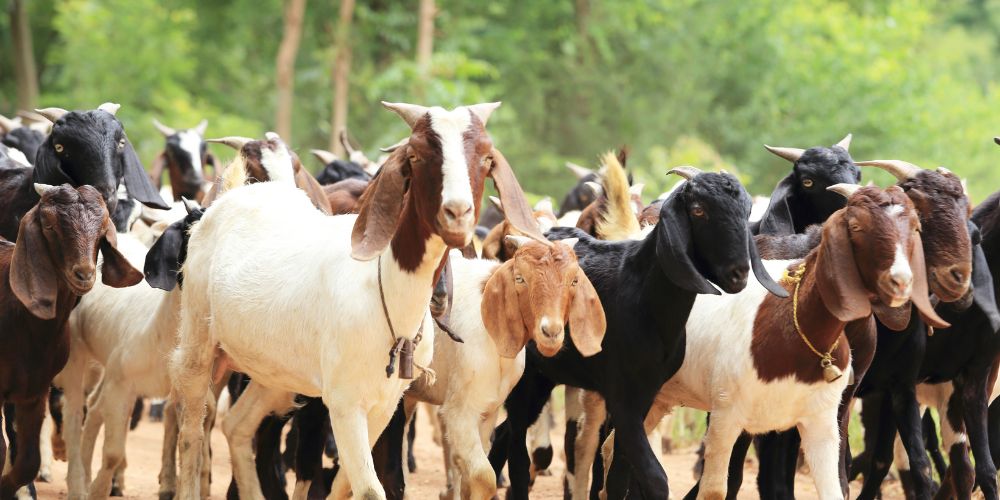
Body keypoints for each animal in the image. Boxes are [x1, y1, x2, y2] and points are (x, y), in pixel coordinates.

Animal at [172, 101, 548, 500]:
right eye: (416, 154)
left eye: (486, 157)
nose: (458, 213)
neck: (386, 295)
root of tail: (229, 198)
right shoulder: (343, 403)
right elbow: (368, 488)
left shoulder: (385, 404)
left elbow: (347, 482)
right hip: (198, 343)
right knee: (192, 432)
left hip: (274, 372)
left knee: (237, 426)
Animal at [492, 165, 788, 500]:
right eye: (698, 210)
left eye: (746, 210)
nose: (738, 273)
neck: (644, 296)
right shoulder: (622, 397)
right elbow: (654, 478)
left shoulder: (646, 393)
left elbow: (619, 473)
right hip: (526, 376)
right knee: (517, 450)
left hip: (547, 374)